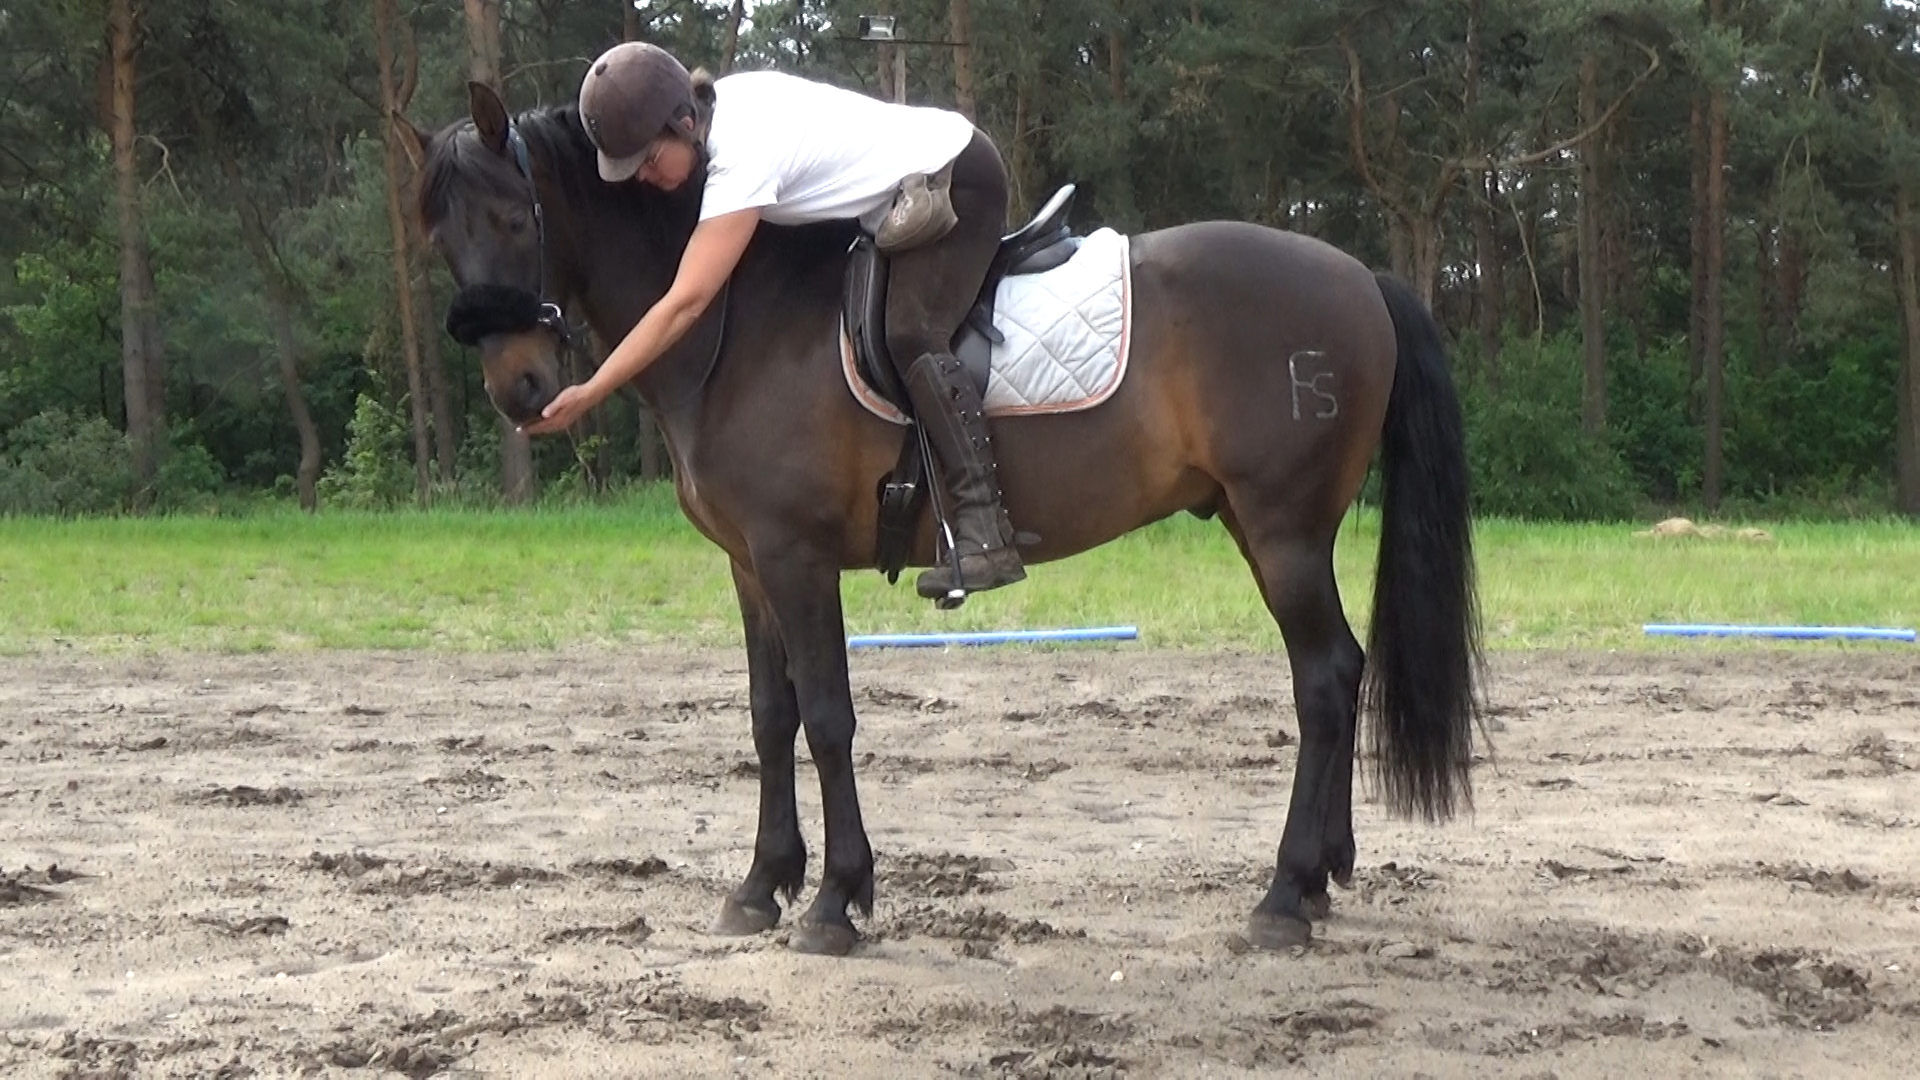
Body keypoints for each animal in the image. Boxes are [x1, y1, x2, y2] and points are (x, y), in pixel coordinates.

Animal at [412, 84, 1474, 949]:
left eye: (514, 216)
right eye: (441, 241)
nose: (519, 390)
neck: (737, 324)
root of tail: (1360, 278)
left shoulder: (796, 558)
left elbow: (828, 715)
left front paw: (836, 900)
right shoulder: (750, 566)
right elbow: (769, 715)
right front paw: (762, 885)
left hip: (1283, 530)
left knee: (1325, 680)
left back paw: (1284, 896)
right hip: (1266, 529)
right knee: (1340, 671)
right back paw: (1322, 878)